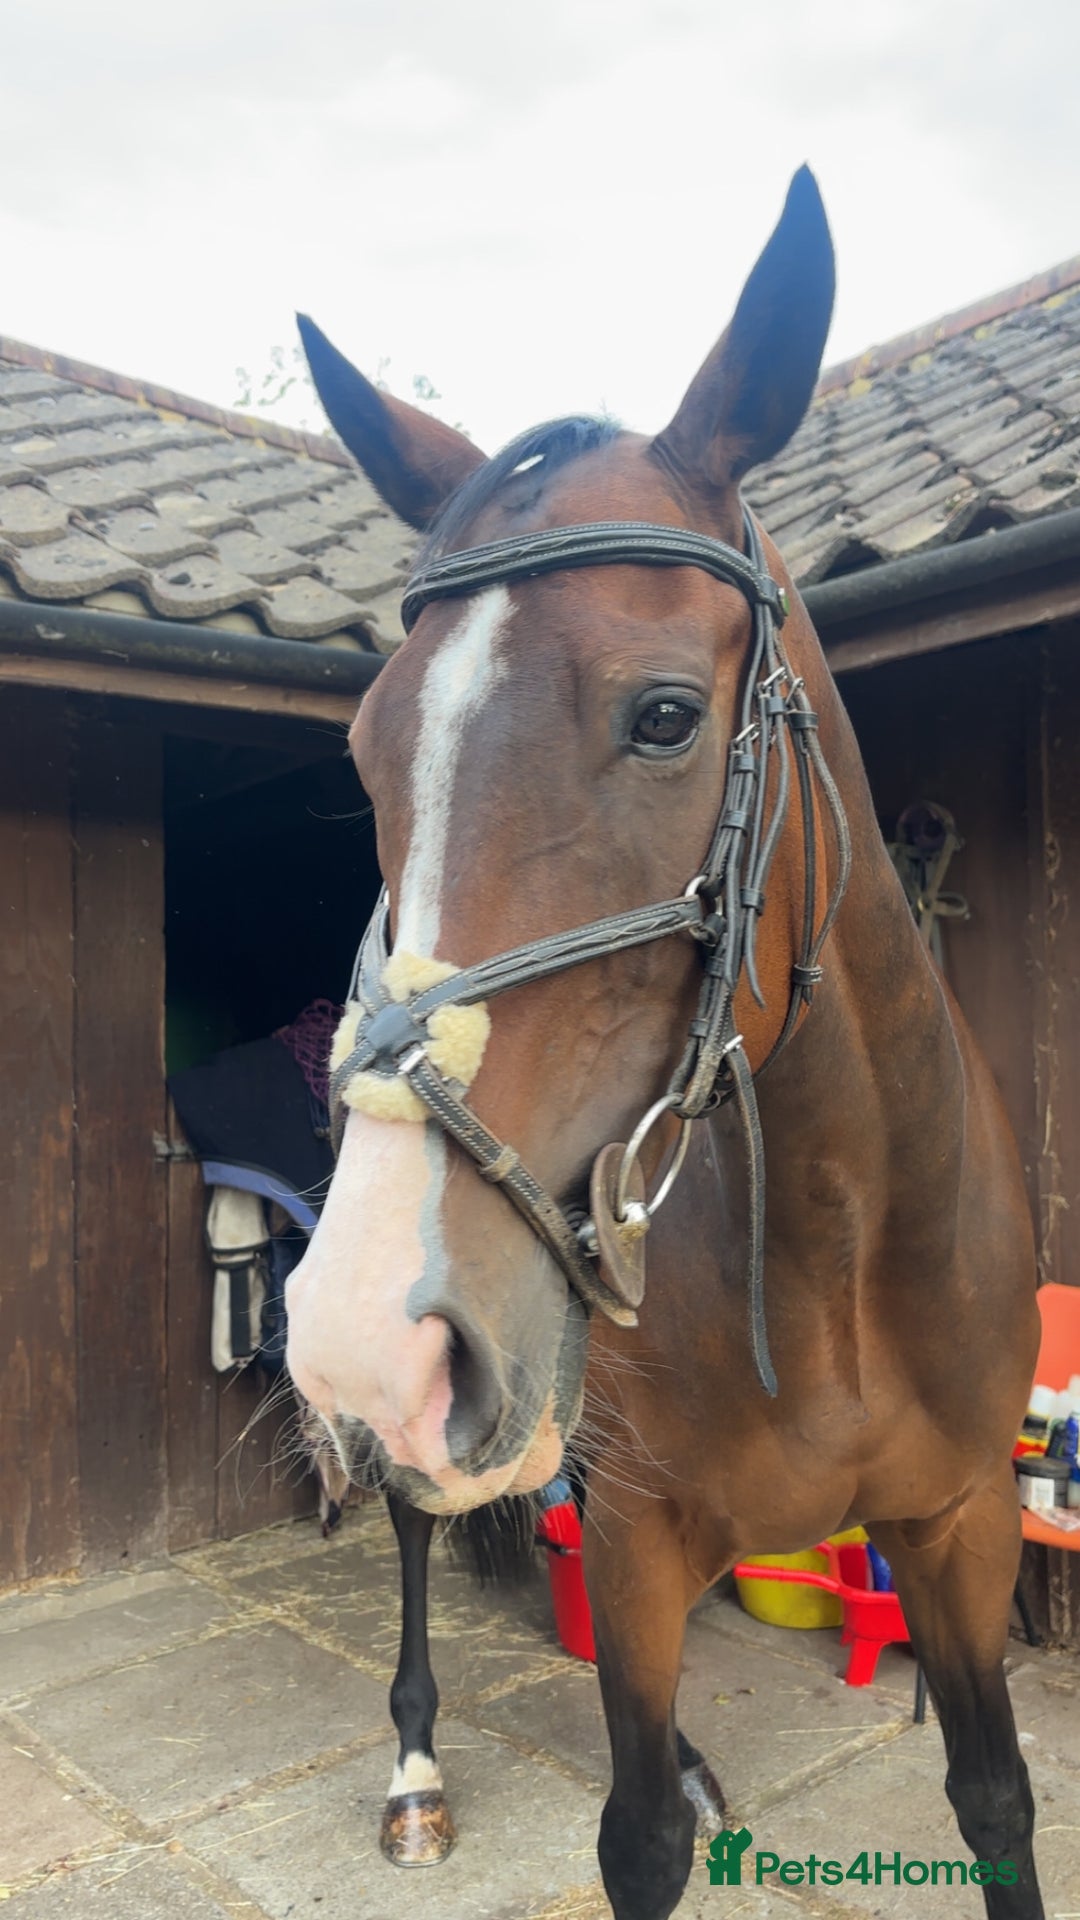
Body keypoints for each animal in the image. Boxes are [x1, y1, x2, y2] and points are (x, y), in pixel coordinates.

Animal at [285, 167, 1043, 1920]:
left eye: (664, 718)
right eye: (367, 751)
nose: (364, 1332)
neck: (830, 1250)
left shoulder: (961, 1525)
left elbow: (995, 1800)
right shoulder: (635, 1544)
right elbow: (632, 1837)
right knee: (421, 1530)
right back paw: (418, 1767)